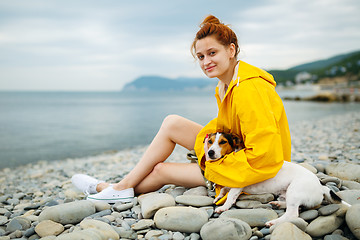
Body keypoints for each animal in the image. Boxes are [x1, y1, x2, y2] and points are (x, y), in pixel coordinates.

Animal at [204, 132, 348, 226]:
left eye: (223, 142)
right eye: (210, 141)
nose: (210, 152)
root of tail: (320, 187)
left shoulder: (238, 186)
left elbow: (229, 196)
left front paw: (223, 207)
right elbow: (223, 190)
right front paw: (217, 197)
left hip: (294, 191)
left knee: (293, 214)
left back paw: (274, 222)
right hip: (287, 194)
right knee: (294, 206)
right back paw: (277, 204)